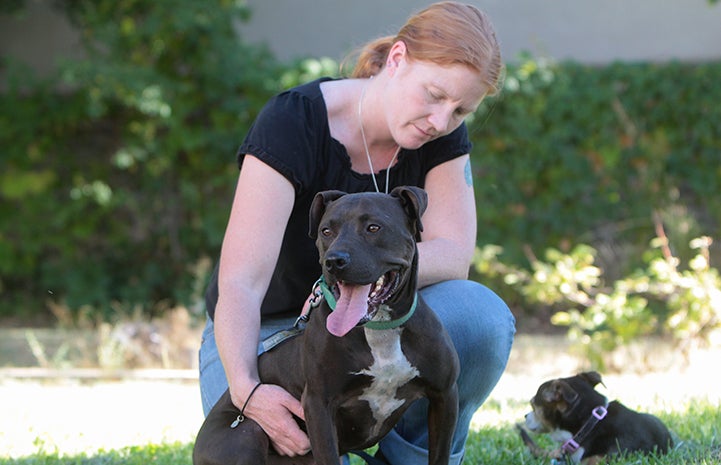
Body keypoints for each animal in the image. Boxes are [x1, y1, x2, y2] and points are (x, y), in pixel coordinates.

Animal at [194, 185, 458, 464]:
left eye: (374, 227)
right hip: (246, 434)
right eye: (326, 231)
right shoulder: (318, 404)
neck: (379, 330)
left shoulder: (445, 396)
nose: (334, 260)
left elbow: (440, 455)